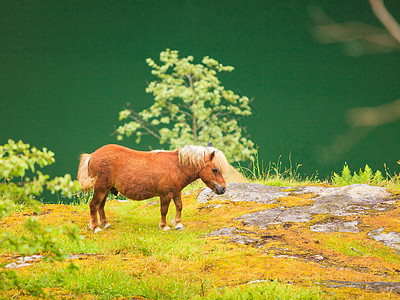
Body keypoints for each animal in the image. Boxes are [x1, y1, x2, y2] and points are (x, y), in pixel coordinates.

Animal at [77, 144, 228, 233]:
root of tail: (92, 155)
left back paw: (105, 224)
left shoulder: (176, 192)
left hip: (105, 189)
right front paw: (164, 226)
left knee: (101, 206)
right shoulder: (165, 194)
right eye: (215, 170)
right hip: (101, 189)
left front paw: (178, 224)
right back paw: (96, 227)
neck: (177, 166)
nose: (223, 189)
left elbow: (179, 206)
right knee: (94, 205)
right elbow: (164, 210)